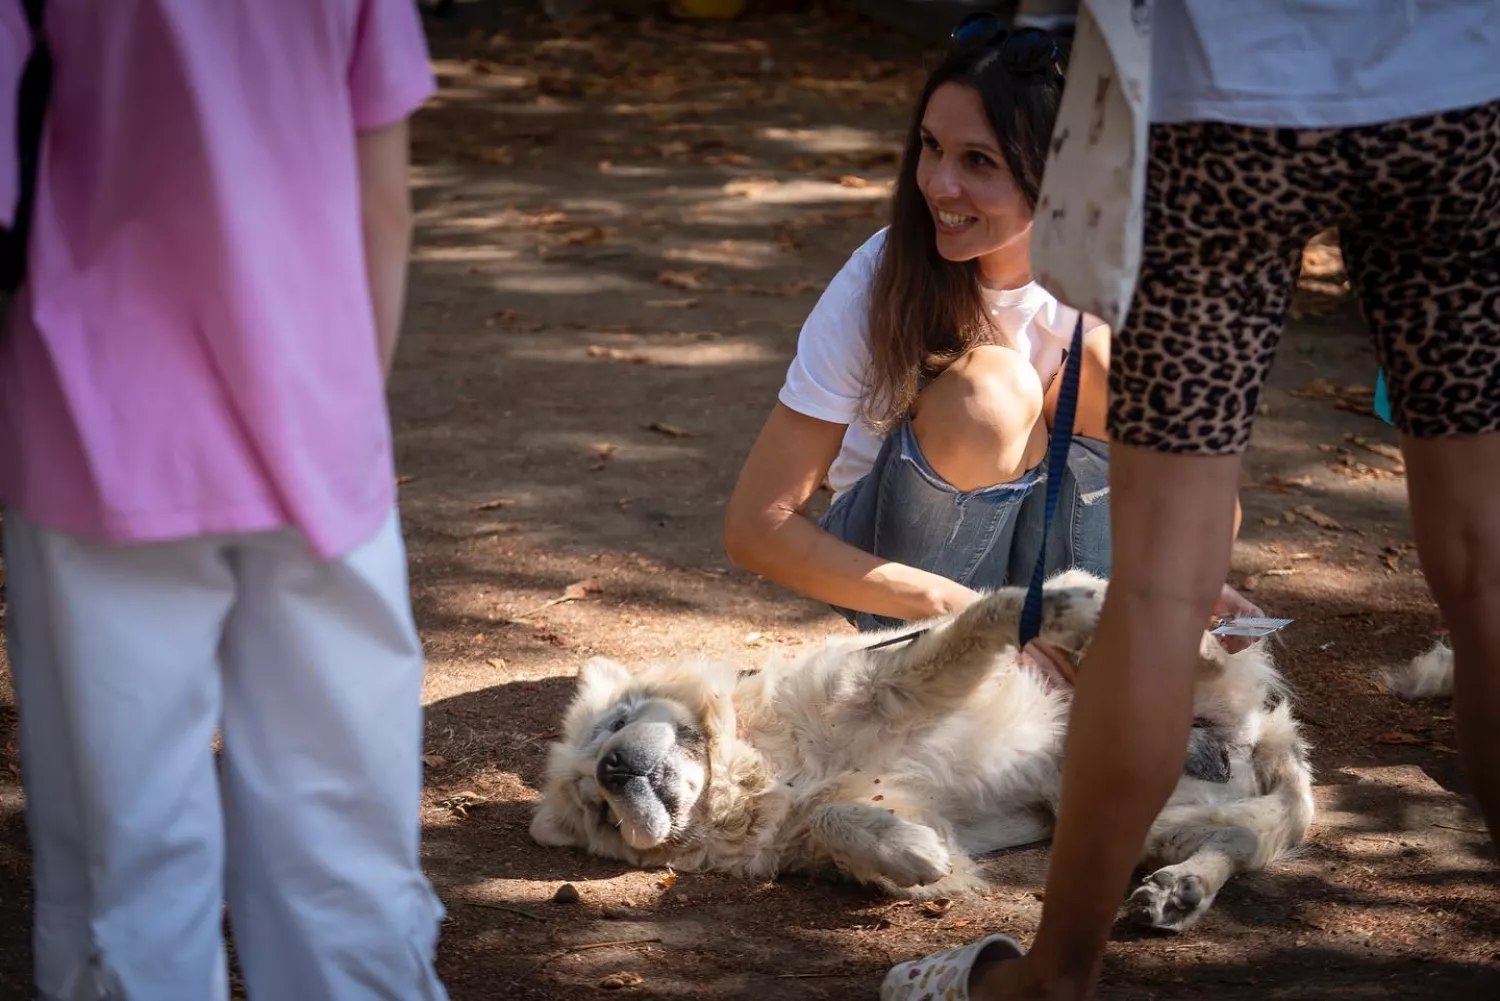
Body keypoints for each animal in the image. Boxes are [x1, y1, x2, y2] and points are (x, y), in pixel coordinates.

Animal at [528, 570, 1314, 930]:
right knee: (1235, 842)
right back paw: (1177, 891)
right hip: (1132, 812)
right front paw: (912, 854)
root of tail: (1258, 733)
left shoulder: (887, 684)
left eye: (614, 724)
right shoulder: (821, 823)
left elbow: (986, 616)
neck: (761, 770)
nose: (613, 768)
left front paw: (1060, 606)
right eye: (599, 810)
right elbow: (845, 822)